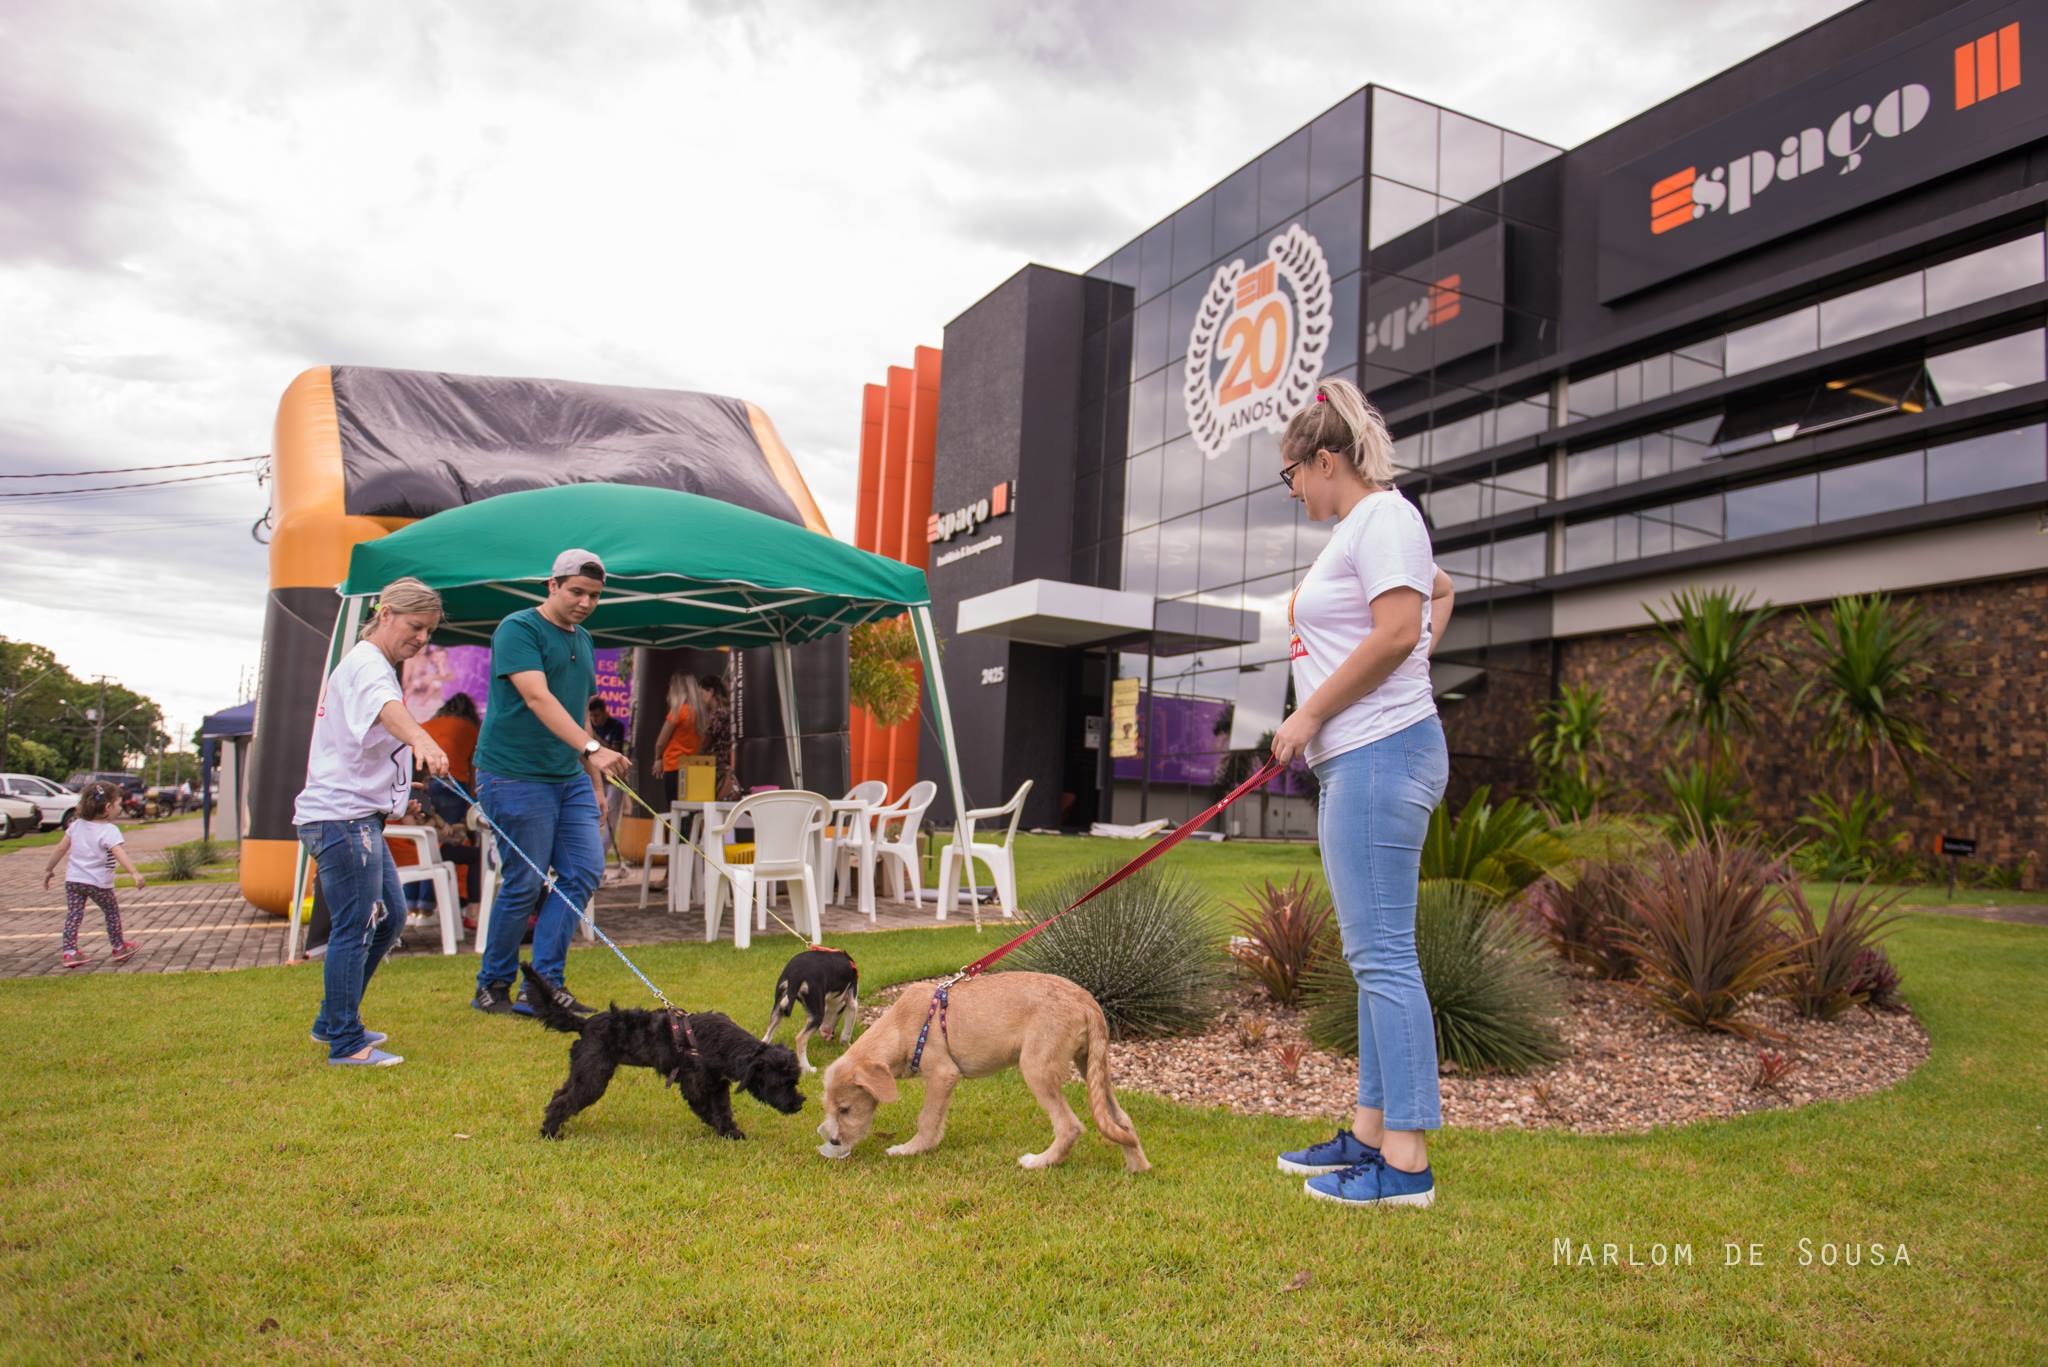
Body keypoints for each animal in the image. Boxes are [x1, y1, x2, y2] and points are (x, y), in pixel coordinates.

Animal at [520, 963, 806, 1147]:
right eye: (779, 1083)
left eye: (795, 1081)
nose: (799, 1103)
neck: (723, 1044)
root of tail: (585, 1024)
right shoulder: (696, 1086)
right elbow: (708, 1110)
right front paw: (723, 1131)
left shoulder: (718, 1085)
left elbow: (723, 1109)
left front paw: (731, 1133)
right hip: (593, 1077)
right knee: (563, 1101)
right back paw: (550, 1133)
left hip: (583, 1071)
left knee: (560, 1095)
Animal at [815, 971, 1155, 1180]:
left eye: (845, 1109)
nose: (834, 1141)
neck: (902, 1026)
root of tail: (1087, 1001)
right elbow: (936, 1119)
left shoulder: (943, 1074)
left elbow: (926, 1119)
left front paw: (910, 1149)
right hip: (1094, 1066)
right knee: (1121, 1120)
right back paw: (1138, 1167)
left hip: (1036, 1067)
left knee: (1069, 1126)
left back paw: (1040, 1162)